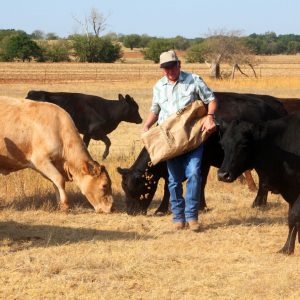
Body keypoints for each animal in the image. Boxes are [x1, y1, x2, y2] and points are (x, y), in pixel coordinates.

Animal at [116, 92, 290, 216]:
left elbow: (199, 183)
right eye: (124, 188)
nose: (130, 212)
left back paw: (258, 203)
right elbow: (169, 186)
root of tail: (277, 105)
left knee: (264, 179)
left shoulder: (203, 162)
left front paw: (199, 206)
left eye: (136, 188)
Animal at [218, 113, 300, 254]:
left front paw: (287, 249)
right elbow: (292, 219)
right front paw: (288, 248)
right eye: (223, 145)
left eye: (243, 145)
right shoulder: (290, 193)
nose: (223, 175)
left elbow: (294, 216)